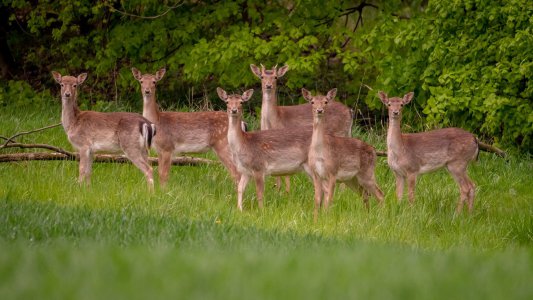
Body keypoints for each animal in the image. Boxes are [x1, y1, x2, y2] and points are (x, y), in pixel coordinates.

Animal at [249, 64, 354, 193]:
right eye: (262, 76)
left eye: (275, 77)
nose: (268, 85)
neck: (275, 119)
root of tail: (350, 111)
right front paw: (278, 189)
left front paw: (285, 192)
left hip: (339, 132)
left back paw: (341, 191)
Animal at [304, 87, 382, 218]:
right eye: (312, 102)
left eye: (325, 102)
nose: (319, 110)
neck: (320, 151)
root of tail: (374, 150)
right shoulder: (316, 174)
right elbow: (317, 200)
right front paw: (316, 219)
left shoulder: (332, 172)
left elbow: (329, 200)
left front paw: (327, 218)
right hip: (352, 179)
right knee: (365, 195)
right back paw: (367, 216)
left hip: (367, 173)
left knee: (379, 194)